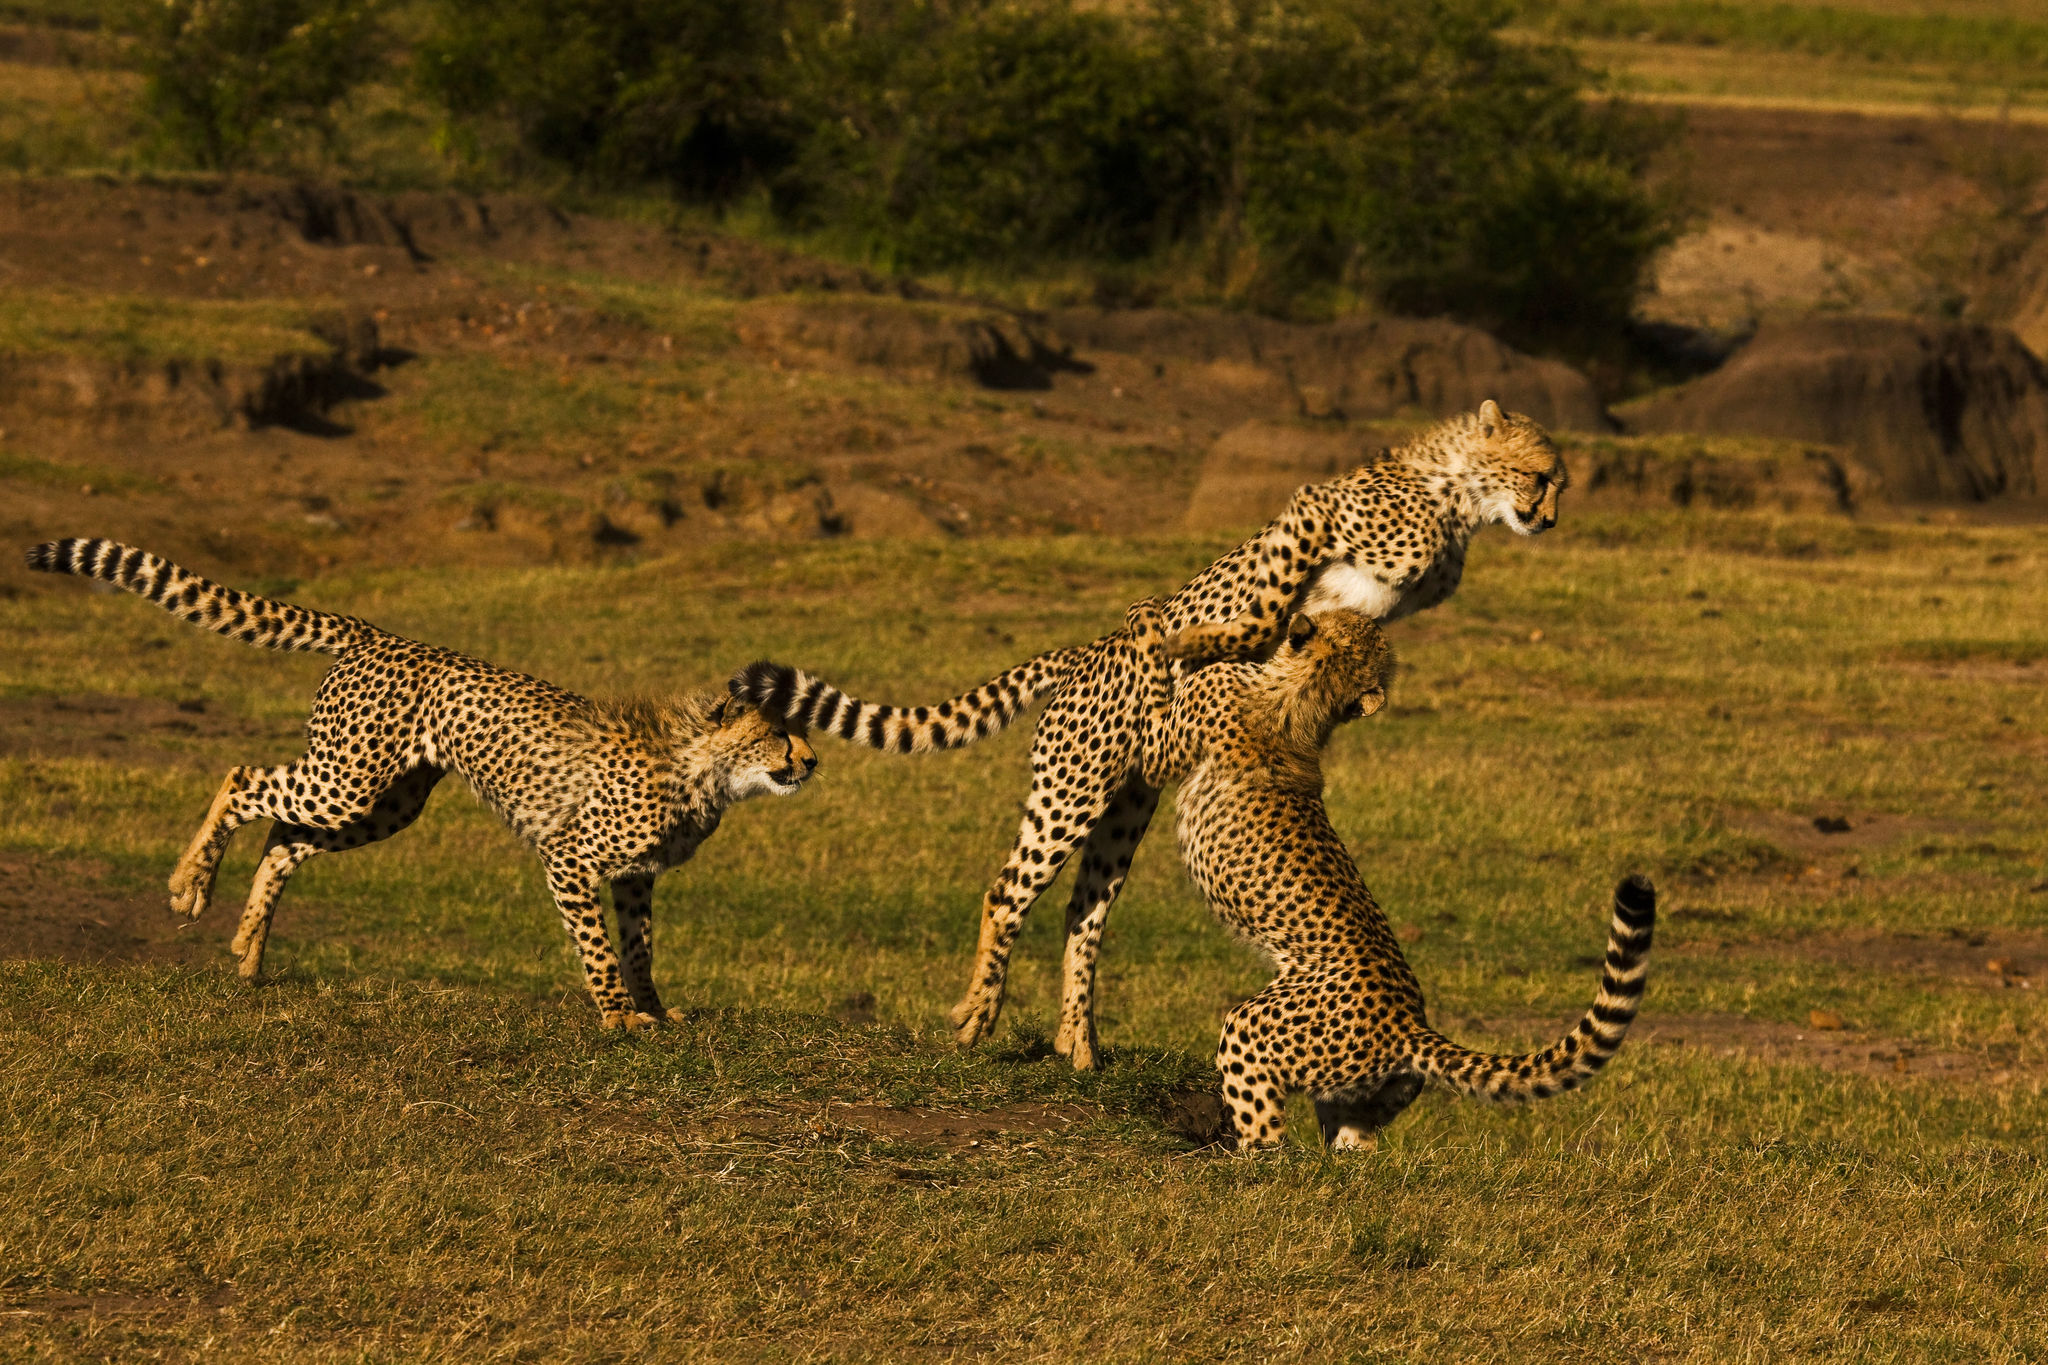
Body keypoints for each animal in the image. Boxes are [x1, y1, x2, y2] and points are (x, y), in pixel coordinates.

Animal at [28, 532, 815, 1023]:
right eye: (779, 731)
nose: (810, 760)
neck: (704, 769)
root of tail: (380, 634)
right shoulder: (570, 856)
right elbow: (598, 945)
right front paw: (617, 1015)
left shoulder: (634, 875)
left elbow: (639, 944)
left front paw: (651, 1008)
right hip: (345, 778)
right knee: (243, 776)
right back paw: (190, 885)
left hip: (381, 803)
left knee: (283, 838)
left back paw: (249, 952)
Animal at [737, 401, 1564, 1072]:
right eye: (1544, 475)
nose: (1551, 519)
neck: (1456, 497)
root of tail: (1077, 656)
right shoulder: (1313, 514)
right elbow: (1267, 607)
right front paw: (1185, 637)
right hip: (1070, 792)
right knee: (1007, 891)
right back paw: (979, 1014)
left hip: (1125, 810)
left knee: (1083, 913)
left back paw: (1079, 1042)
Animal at [1130, 601, 1654, 1154]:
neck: (1308, 690)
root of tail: (1408, 1023)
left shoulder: (1164, 747)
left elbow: (1153, 698)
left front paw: (1149, 622)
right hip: (1360, 1097)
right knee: (1355, 1148)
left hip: (1252, 1031)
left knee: (1269, 1137)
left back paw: (1241, 1159)